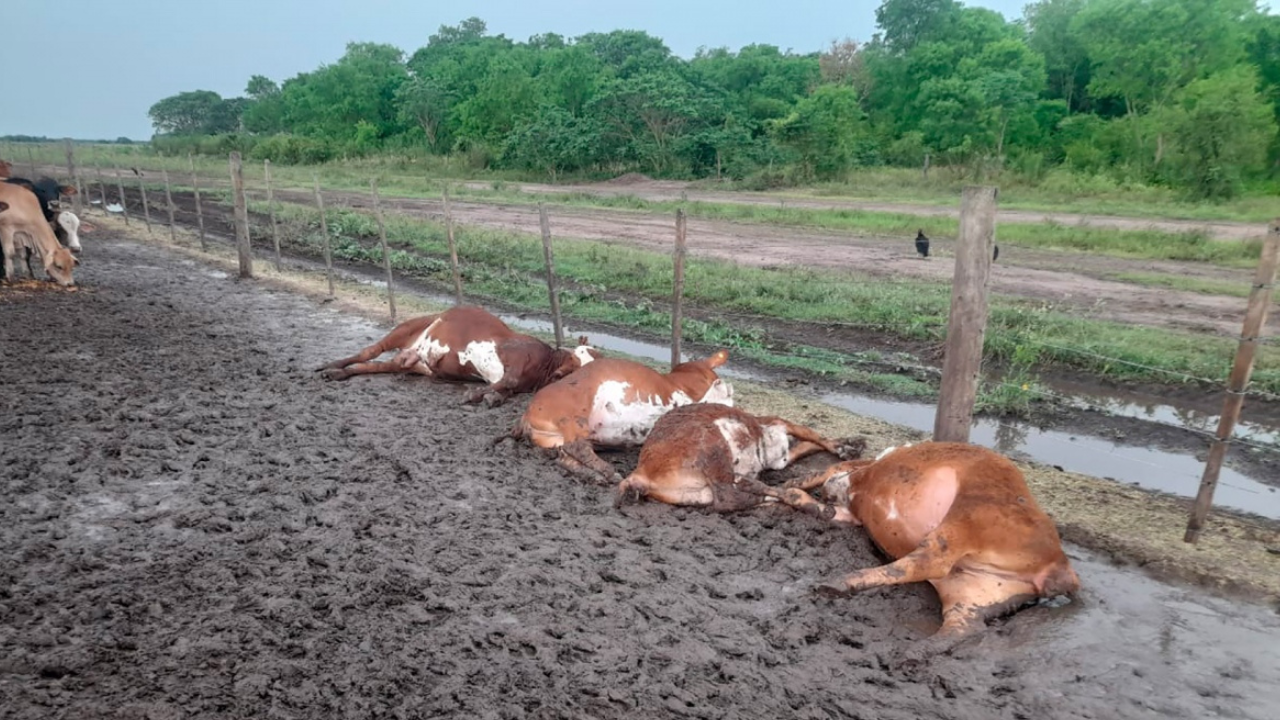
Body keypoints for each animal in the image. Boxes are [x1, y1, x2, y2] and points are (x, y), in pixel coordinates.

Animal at [317, 302, 601, 404]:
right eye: (576, 360)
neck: (544, 366)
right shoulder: (512, 354)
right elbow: (507, 380)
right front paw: (474, 393)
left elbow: (505, 387)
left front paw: (490, 396)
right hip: (405, 328)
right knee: (368, 351)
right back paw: (332, 365)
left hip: (411, 363)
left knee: (373, 366)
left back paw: (339, 374)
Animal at [501, 348, 742, 481]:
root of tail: (525, 415)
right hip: (573, 416)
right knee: (576, 445)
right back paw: (609, 472)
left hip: (554, 440)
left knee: (566, 457)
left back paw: (595, 476)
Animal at [614, 404, 865, 509]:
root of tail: (640, 473)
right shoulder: (774, 423)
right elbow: (809, 432)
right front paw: (848, 446)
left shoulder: (779, 456)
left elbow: (805, 445)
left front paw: (849, 446)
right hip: (713, 447)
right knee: (729, 498)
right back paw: (811, 504)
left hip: (696, 494)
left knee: (732, 499)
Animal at [778, 440, 1080, 648]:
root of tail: (1062, 568)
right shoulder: (851, 511)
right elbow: (828, 502)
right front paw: (792, 490)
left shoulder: (866, 475)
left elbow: (838, 469)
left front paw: (794, 486)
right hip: (972, 592)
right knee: (963, 626)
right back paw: (908, 655)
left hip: (973, 511)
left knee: (930, 561)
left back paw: (833, 584)